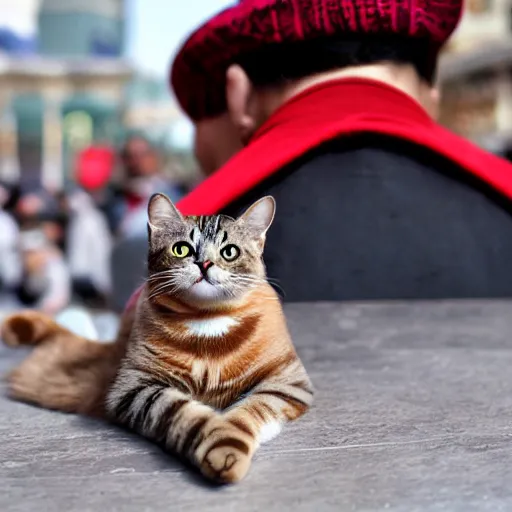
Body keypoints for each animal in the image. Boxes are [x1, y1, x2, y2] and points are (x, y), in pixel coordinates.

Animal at [1, 195, 312, 484]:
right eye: (181, 249)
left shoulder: (287, 382)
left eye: (230, 252)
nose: (205, 263)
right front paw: (217, 442)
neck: (207, 319)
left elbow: (247, 412)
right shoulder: (134, 386)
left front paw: (227, 446)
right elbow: (184, 414)